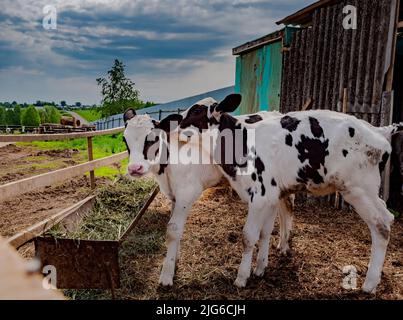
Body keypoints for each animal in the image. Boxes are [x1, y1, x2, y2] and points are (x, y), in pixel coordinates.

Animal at [123, 106, 294, 286]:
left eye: (153, 138)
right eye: (125, 140)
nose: (134, 168)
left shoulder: (186, 193)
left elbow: (173, 230)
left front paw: (166, 275)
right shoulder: (175, 196)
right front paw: (175, 260)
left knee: (288, 208)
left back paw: (282, 247)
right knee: (282, 210)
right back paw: (281, 245)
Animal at [178, 92, 400, 292]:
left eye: (196, 111)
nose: (177, 126)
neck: (242, 141)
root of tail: (379, 131)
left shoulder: (259, 196)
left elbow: (248, 237)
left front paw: (242, 277)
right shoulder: (271, 196)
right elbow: (265, 232)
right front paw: (260, 268)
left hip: (359, 190)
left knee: (381, 225)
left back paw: (370, 283)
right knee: (386, 217)